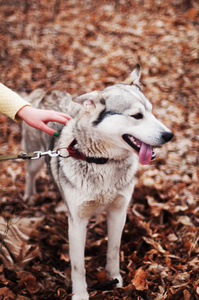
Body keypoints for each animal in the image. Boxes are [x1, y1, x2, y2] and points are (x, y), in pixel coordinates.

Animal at [22, 64, 173, 298]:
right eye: (137, 115)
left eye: (151, 111)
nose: (169, 135)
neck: (102, 161)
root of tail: (46, 90)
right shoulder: (77, 222)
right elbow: (78, 266)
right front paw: (80, 294)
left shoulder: (119, 212)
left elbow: (113, 250)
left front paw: (115, 279)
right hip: (35, 159)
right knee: (29, 173)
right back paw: (30, 195)